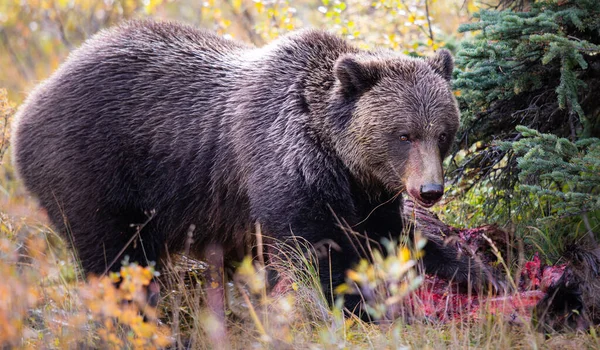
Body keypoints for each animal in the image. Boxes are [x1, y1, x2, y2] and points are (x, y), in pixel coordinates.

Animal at [11, 19, 494, 314]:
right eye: (404, 134)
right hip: (91, 172)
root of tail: (28, 105)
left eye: (442, 133)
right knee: (116, 261)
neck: (336, 157)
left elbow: (400, 237)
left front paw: (481, 275)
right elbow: (315, 256)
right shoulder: (282, 169)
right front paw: (359, 308)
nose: (429, 190)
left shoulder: (367, 194)